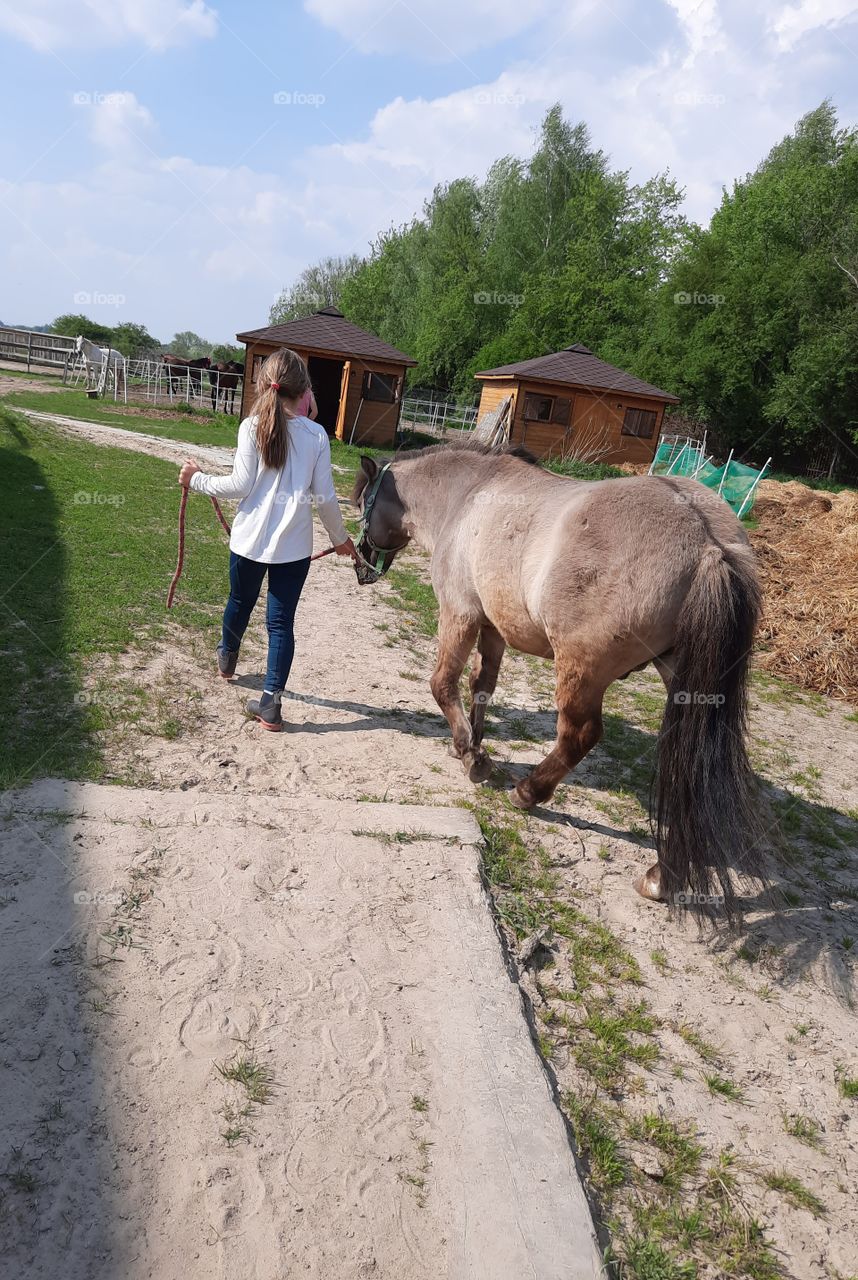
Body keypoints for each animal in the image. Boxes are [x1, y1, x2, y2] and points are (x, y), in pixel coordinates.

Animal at [353, 442, 768, 921]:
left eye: (361, 505)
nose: (361, 569)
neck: (468, 495)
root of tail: (708, 542)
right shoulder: (494, 628)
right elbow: (481, 686)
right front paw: (473, 743)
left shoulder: (460, 613)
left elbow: (443, 683)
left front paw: (471, 756)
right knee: (685, 765)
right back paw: (663, 876)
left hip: (580, 671)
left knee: (579, 736)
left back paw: (529, 792)